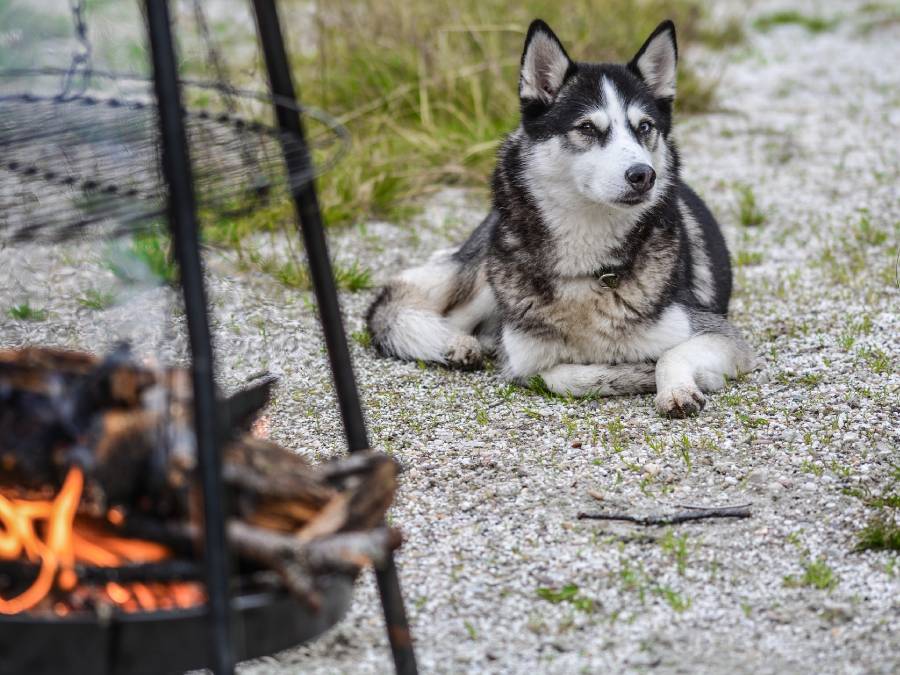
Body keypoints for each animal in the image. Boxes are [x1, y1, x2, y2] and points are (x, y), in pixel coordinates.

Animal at [362, 19, 756, 418]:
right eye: (587, 128)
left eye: (644, 127)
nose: (643, 175)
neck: (587, 262)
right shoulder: (524, 361)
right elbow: (561, 375)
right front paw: (631, 373)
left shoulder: (719, 334)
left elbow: (669, 355)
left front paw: (674, 389)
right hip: (485, 281)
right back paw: (455, 343)